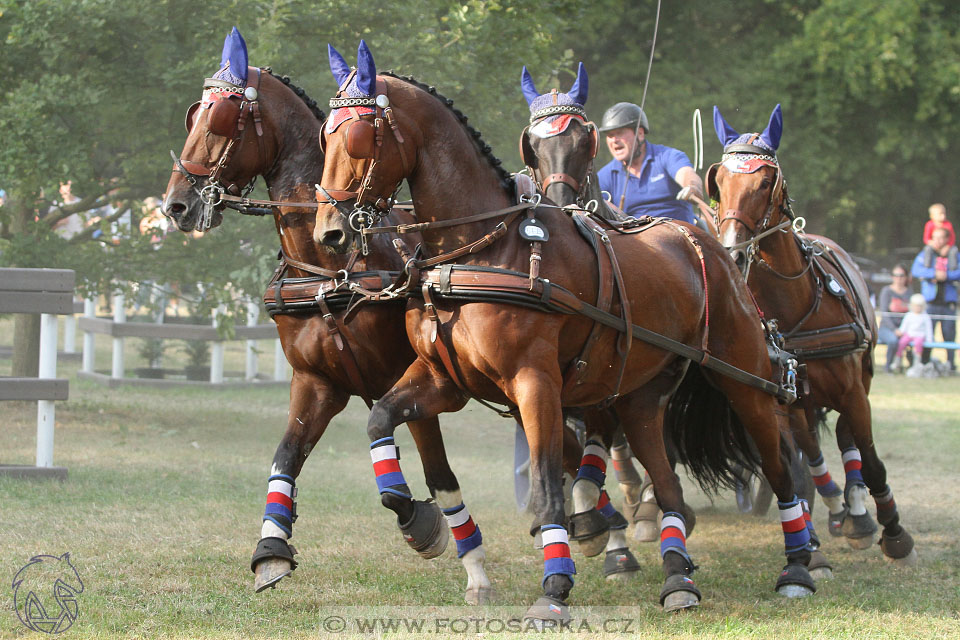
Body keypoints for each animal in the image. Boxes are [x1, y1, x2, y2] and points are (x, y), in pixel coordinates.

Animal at [162, 26, 502, 604]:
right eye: (194, 115)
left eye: (220, 119)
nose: (176, 204)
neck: (330, 268)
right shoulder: (317, 382)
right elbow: (285, 456)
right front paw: (270, 551)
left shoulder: (411, 379)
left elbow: (435, 472)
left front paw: (435, 533)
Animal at [316, 41, 816, 620]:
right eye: (324, 133)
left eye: (356, 136)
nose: (329, 232)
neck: (478, 249)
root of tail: (709, 245)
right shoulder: (445, 380)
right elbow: (379, 420)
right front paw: (417, 521)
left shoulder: (535, 384)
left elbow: (547, 487)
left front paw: (554, 588)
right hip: (640, 398)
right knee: (666, 484)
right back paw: (678, 577)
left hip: (744, 380)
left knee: (780, 466)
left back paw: (799, 565)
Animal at [708, 104, 920, 564]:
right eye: (719, 181)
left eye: (765, 181)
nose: (732, 252)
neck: (795, 310)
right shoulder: (776, 397)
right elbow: (791, 464)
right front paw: (808, 540)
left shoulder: (854, 391)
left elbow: (870, 459)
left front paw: (894, 533)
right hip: (802, 400)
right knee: (813, 449)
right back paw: (838, 507)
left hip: (860, 380)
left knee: (846, 439)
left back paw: (857, 512)